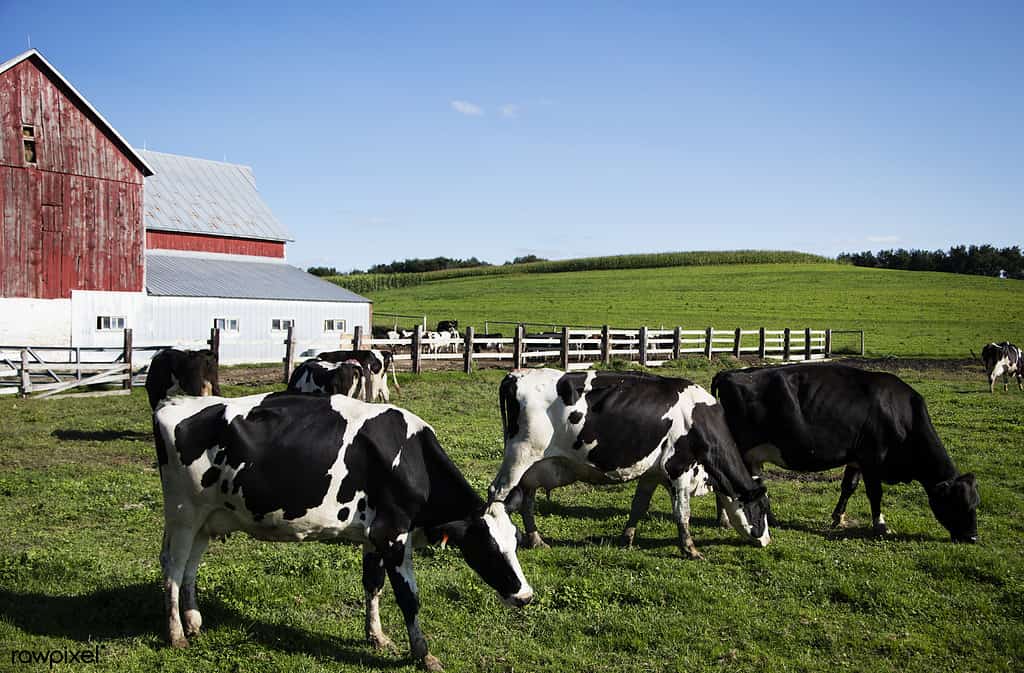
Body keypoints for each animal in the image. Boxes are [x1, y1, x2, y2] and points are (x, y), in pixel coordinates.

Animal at [157, 389, 536, 667]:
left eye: (516, 542)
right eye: (487, 548)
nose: (526, 596)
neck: (412, 459)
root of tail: (173, 402)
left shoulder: (374, 534)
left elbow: (373, 584)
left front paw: (376, 636)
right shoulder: (393, 533)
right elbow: (408, 597)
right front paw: (423, 654)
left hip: (206, 519)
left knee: (188, 567)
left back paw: (193, 622)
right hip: (184, 514)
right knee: (173, 570)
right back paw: (176, 634)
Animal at [487, 366, 770, 557]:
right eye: (762, 509)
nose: (767, 540)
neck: (697, 418)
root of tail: (516, 375)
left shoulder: (652, 473)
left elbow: (639, 506)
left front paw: (626, 538)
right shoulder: (679, 467)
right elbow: (682, 512)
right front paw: (690, 549)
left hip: (532, 465)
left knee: (527, 499)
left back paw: (536, 540)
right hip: (520, 456)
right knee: (497, 493)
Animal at [708, 364, 978, 544]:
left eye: (976, 502)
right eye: (958, 503)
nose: (973, 537)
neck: (902, 415)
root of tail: (730, 373)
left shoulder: (857, 459)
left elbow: (849, 486)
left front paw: (838, 517)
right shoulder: (872, 459)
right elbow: (875, 493)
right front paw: (881, 526)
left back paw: (767, 519)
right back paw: (725, 520)